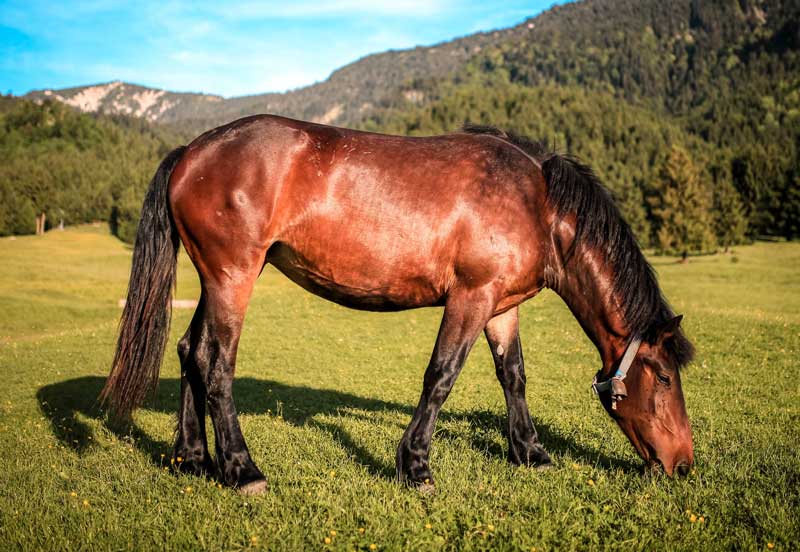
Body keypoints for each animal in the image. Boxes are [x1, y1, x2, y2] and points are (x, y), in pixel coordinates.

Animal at [102, 115, 695, 495]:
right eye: (665, 377)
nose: (684, 465)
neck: (536, 202)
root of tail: (192, 151)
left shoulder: (502, 305)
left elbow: (514, 375)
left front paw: (531, 452)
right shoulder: (471, 297)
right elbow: (441, 375)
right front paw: (415, 466)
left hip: (217, 280)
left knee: (189, 351)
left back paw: (193, 458)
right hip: (233, 278)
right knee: (217, 364)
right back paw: (243, 470)